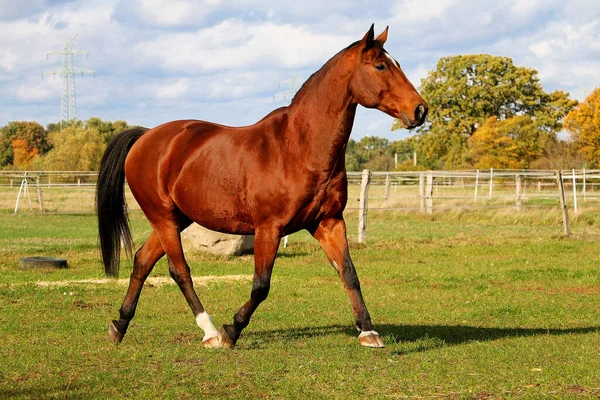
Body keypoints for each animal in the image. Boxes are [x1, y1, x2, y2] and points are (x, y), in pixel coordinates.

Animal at [97, 25, 426, 350]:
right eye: (381, 66)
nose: (420, 110)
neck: (298, 147)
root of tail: (146, 136)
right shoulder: (269, 228)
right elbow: (261, 285)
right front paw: (231, 330)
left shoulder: (329, 222)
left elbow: (349, 273)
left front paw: (368, 331)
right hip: (164, 218)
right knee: (180, 271)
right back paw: (210, 332)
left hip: (176, 218)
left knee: (142, 260)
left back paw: (119, 325)